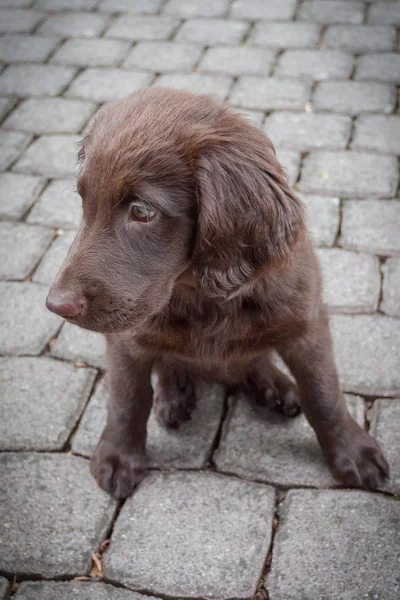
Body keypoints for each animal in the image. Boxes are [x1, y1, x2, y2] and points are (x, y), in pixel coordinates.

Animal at [46, 85, 388, 496]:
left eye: (142, 211)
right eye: (84, 200)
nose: (56, 305)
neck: (201, 293)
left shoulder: (308, 322)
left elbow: (323, 391)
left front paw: (353, 451)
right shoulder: (127, 336)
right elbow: (127, 397)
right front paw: (118, 457)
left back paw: (275, 386)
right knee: (169, 364)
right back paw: (174, 395)